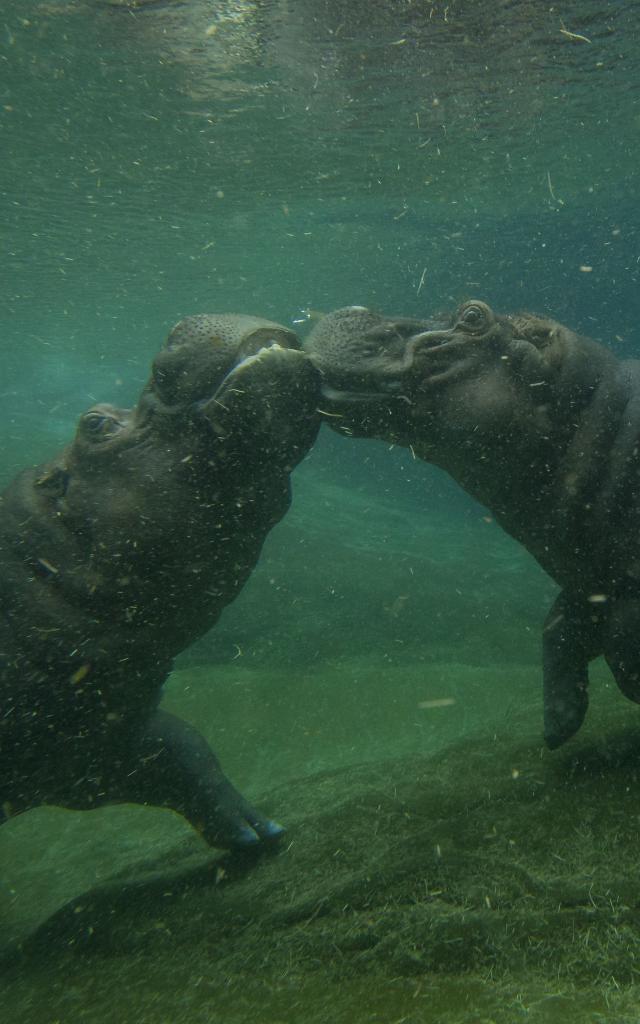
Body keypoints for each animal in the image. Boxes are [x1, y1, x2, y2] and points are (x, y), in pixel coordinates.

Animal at [0, 315, 319, 851]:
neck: (35, 561)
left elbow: (181, 747)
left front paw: (256, 831)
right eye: (94, 422)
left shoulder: (90, 750)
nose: (179, 324)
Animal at [305, 299, 638, 749]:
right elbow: (557, 627)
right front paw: (558, 725)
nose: (355, 310)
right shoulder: (591, 578)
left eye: (474, 316)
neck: (597, 412)